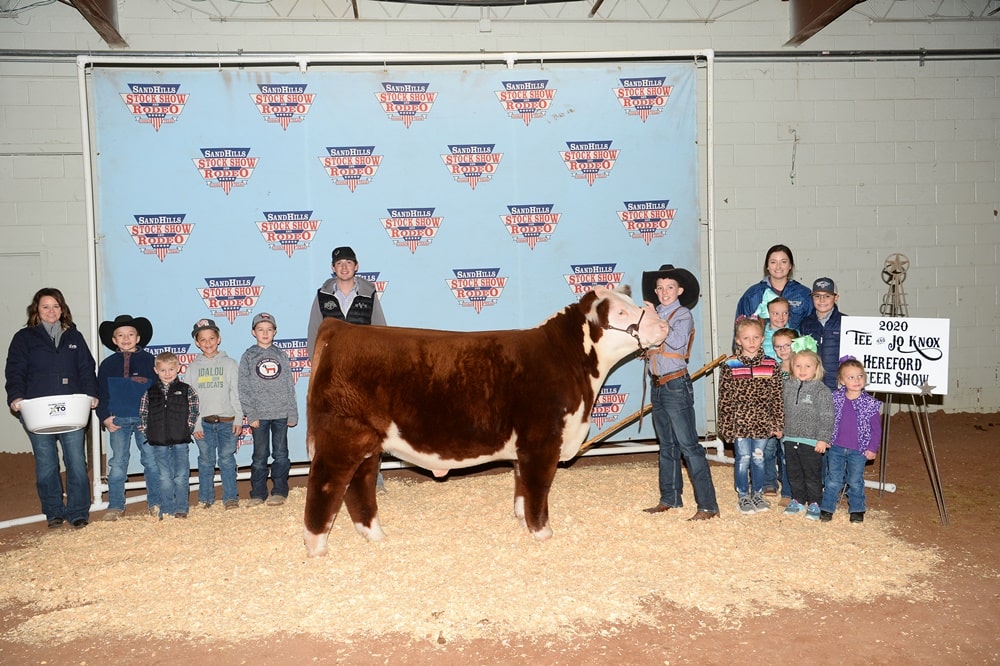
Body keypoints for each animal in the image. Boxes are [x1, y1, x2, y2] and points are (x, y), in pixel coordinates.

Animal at [300, 286, 668, 556]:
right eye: (620, 313)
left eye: (635, 303)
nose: (663, 326)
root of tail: (340, 329)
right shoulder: (542, 441)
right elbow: (538, 488)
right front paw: (542, 532)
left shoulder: (525, 447)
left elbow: (521, 486)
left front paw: (521, 520)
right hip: (341, 438)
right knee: (326, 484)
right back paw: (317, 547)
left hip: (368, 442)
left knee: (359, 485)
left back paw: (374, 535)